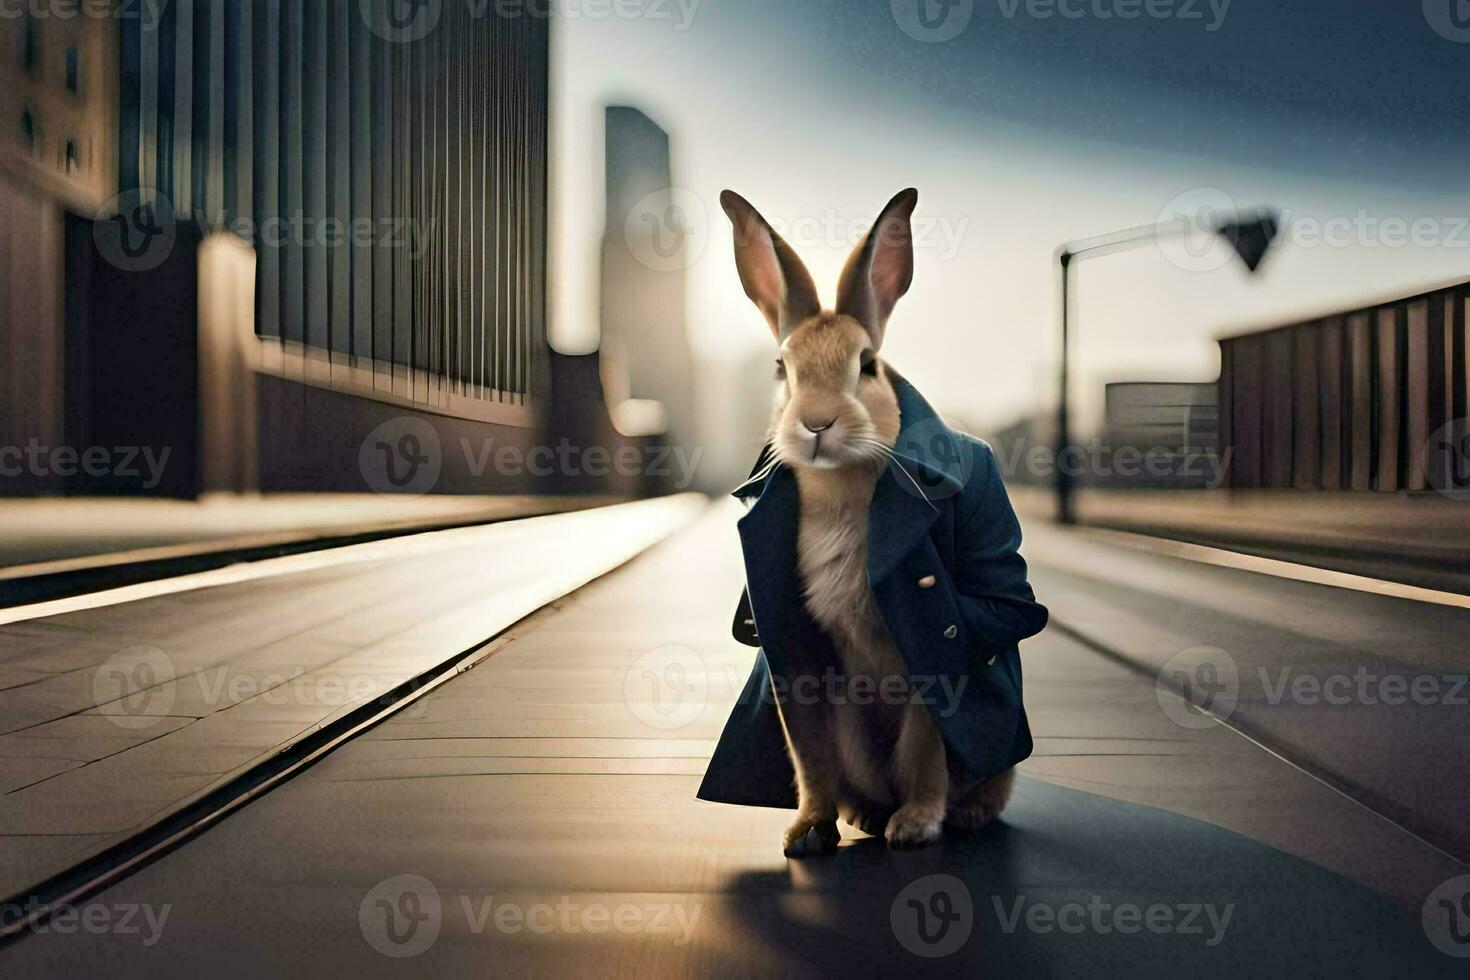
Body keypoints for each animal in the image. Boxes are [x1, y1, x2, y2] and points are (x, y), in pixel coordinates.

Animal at [717, 188, 1017, 852]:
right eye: (782, 368)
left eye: (869, 364)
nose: (817, 422)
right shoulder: (803, 675)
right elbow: (808, 757)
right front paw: (805, 833)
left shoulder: (924, 662)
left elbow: (929, 747)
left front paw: (917, 827)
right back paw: (865, 817)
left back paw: (943, 818)